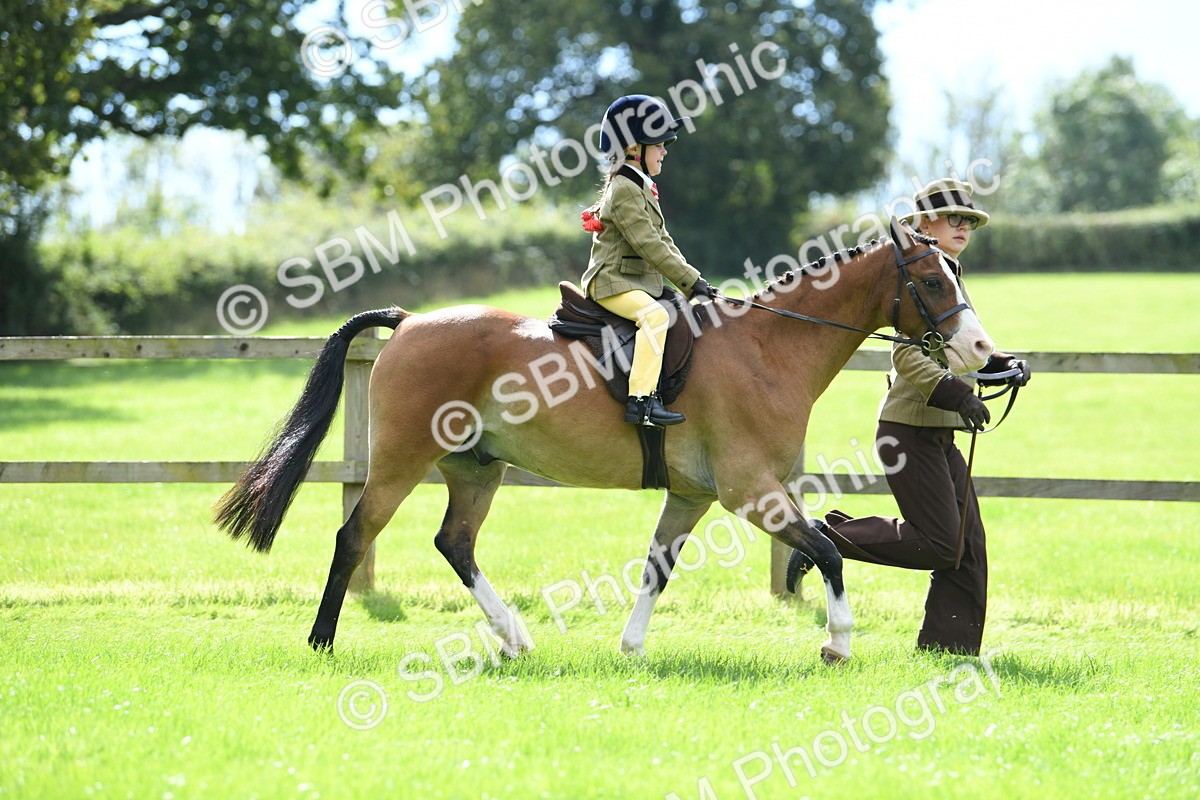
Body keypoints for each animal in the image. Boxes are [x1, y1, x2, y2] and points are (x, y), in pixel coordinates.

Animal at [214, 218, 994, 664]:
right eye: (931, 281)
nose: (983, 351)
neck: (767, 346)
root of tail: (408, 322)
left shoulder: (694, 496)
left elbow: (658, 567)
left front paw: (632, 648)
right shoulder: (750, 492)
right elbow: (828, 549)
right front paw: (837, 642)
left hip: (476, 468)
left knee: (455, 543)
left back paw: (515, 639)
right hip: (402, 462)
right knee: (355, 536)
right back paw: (322, 642)